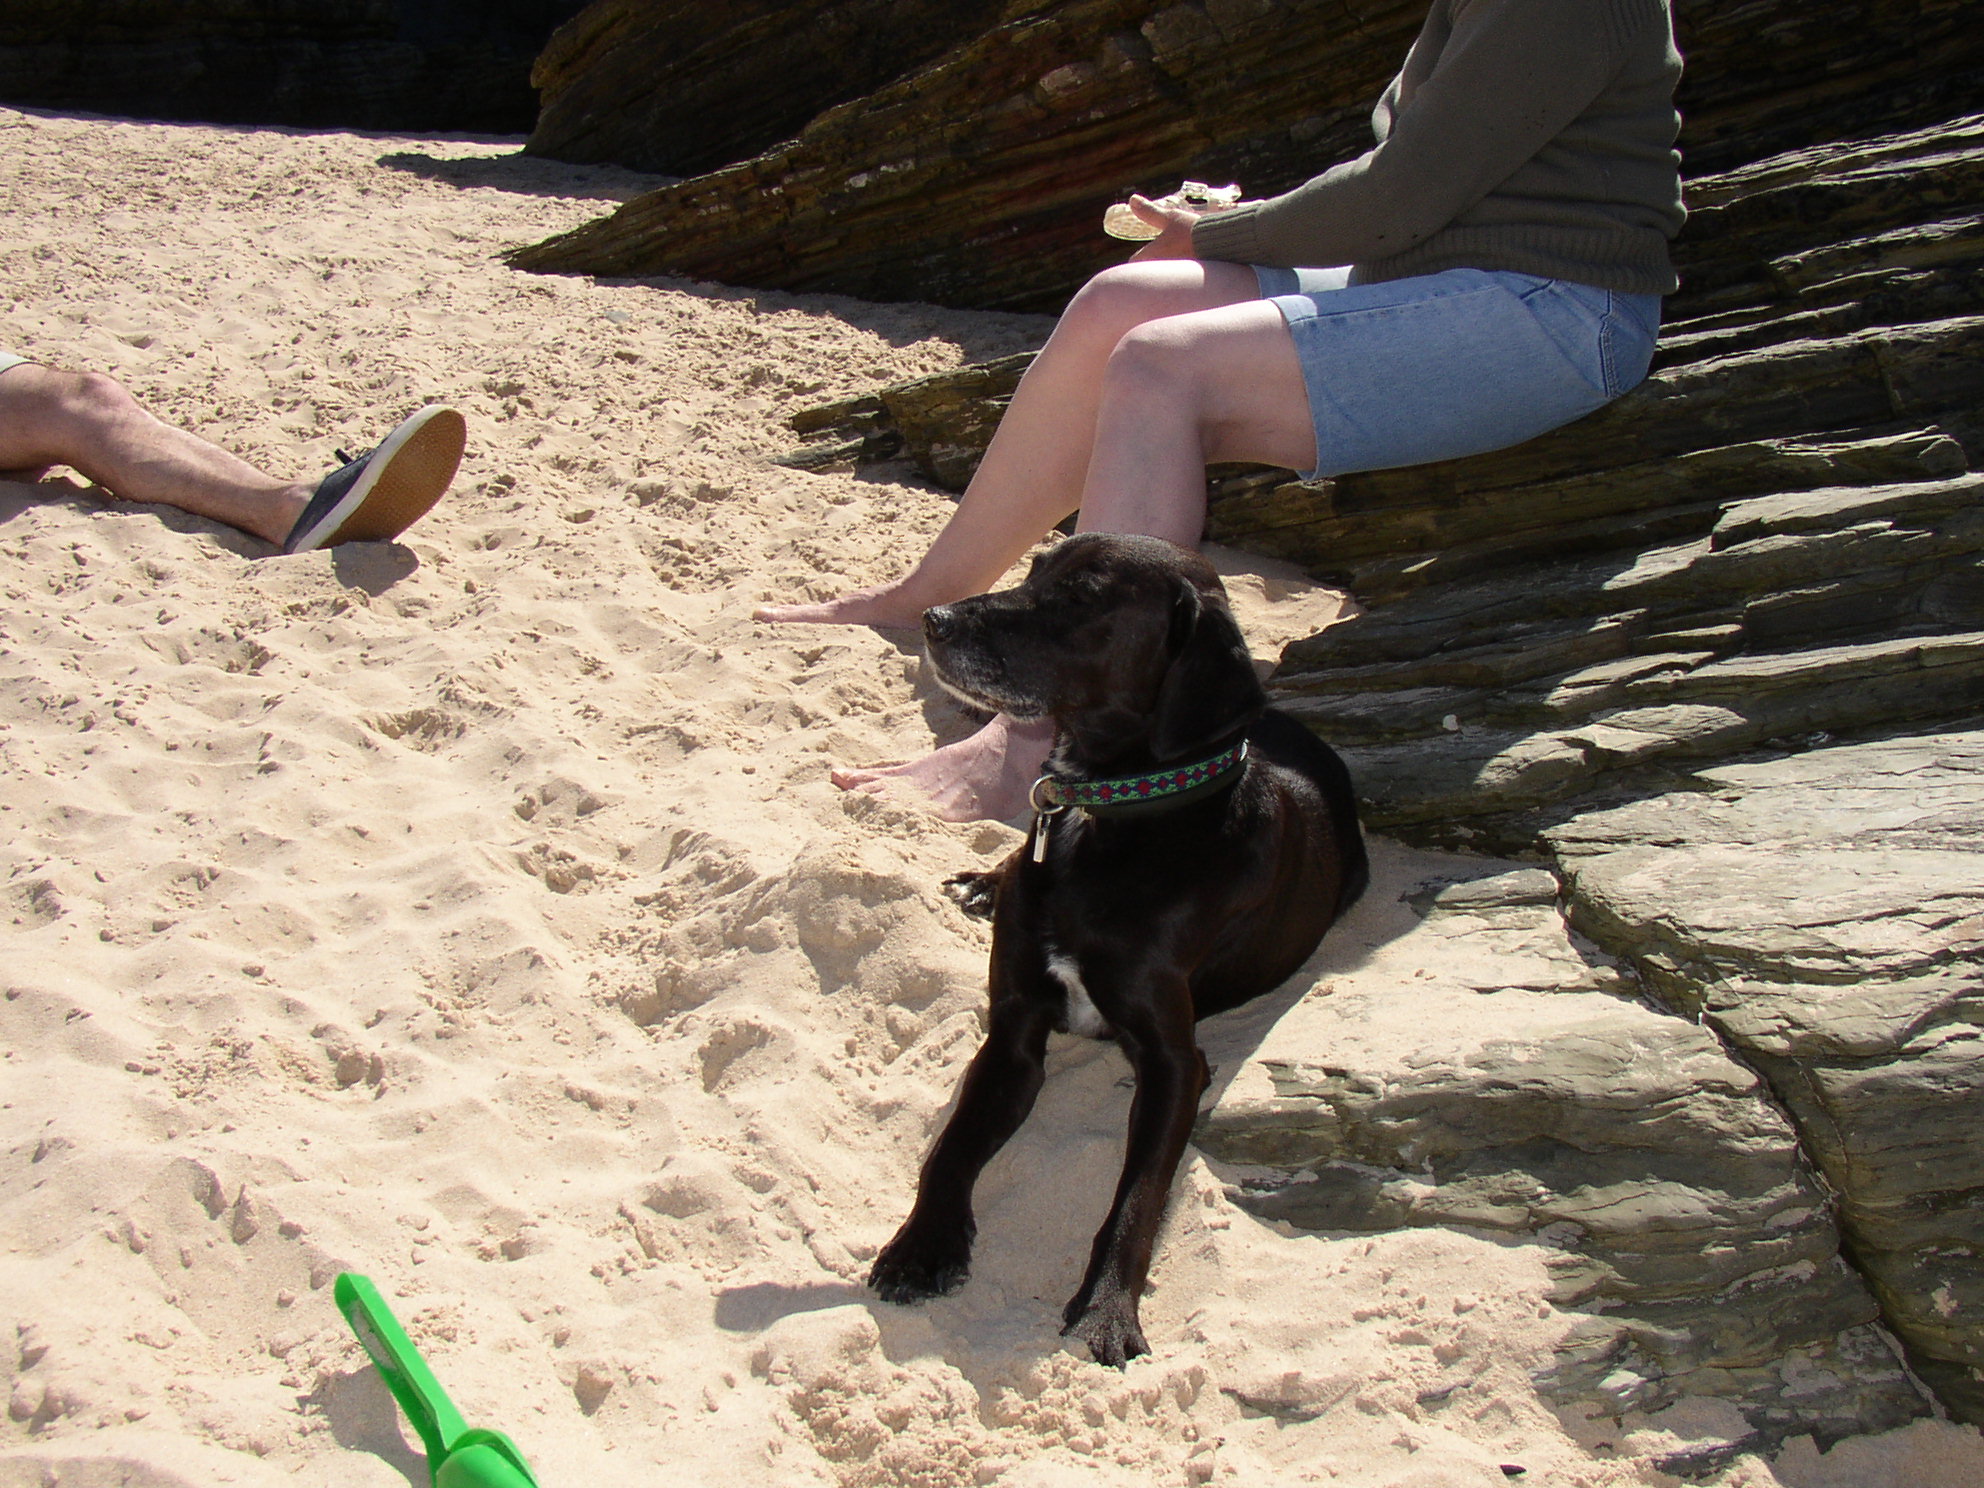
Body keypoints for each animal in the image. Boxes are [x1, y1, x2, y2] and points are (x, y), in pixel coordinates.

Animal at [867, 532, 1367, 1366]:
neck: (1111, 813)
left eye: (1085, 598)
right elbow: (951, 1148)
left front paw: (1107, 1308)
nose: (934, 620)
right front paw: (921, 1246)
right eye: (1036, 569)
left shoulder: (1173, 1061)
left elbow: (1138, 1196)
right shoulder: (1012, 1034)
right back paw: (982, 883)